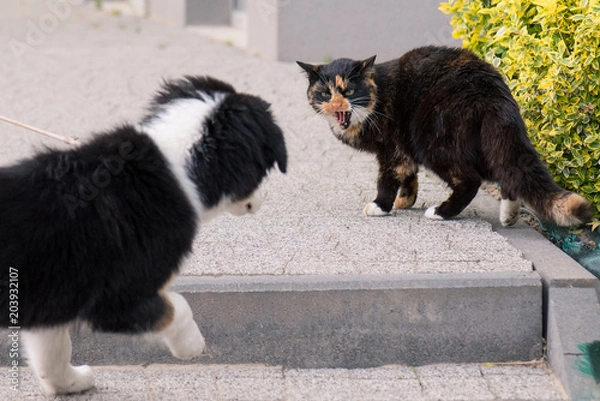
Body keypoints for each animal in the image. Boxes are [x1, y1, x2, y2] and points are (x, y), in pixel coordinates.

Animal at [0, 76, 288, 394]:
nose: (263, 199)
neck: (179, 165)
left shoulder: (54, 296)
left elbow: (52, 350)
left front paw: (69, 383)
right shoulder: (117, 296)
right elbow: (178, 308)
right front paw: (192, 346)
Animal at [298, 45, 592, 227]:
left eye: (348, 92)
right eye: (325, 93)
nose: (337, 105)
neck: (377, 98)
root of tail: (492, 89)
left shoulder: (392, 149)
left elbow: (388, 178)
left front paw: (381, 206)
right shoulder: (404, 149)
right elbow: (410, 176)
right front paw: (405, 201)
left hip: (434, 141)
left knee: (472, 180)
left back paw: (440, 212)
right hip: (487, 140)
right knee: (507, 170)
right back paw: (508, 216)